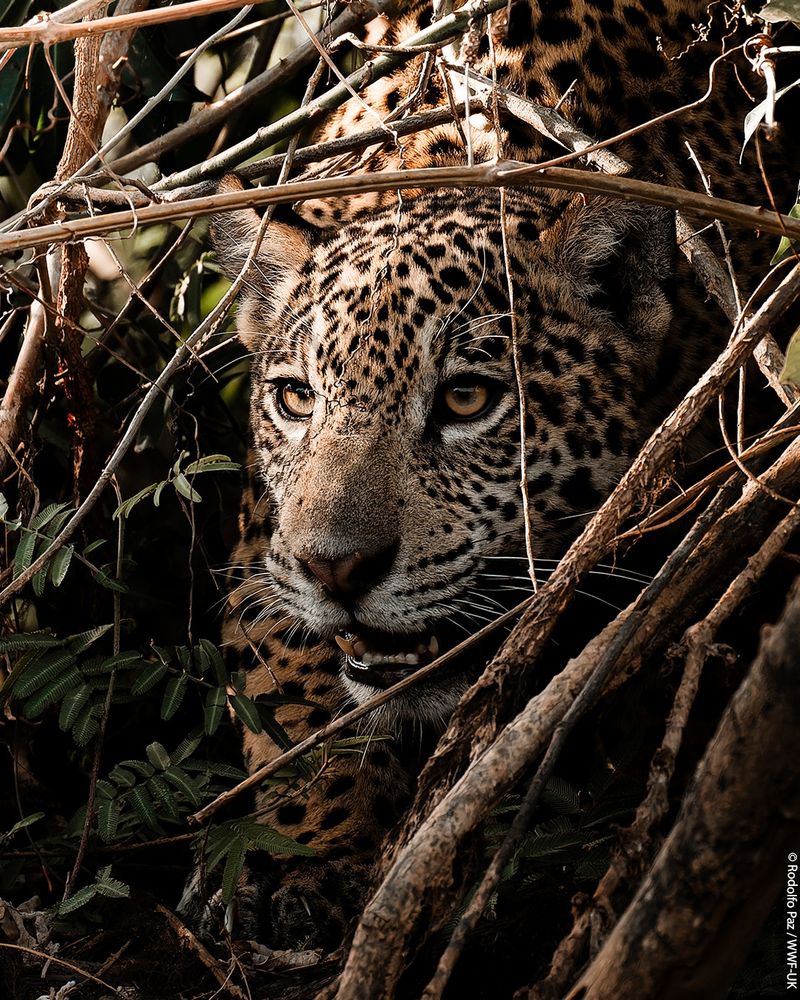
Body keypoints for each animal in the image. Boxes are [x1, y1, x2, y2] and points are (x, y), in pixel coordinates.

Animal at [181, 0, 800, 952]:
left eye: (466, 399)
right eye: (295, 398)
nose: (336, 570)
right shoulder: (265, 545)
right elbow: (288, 690)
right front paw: (302, 848)